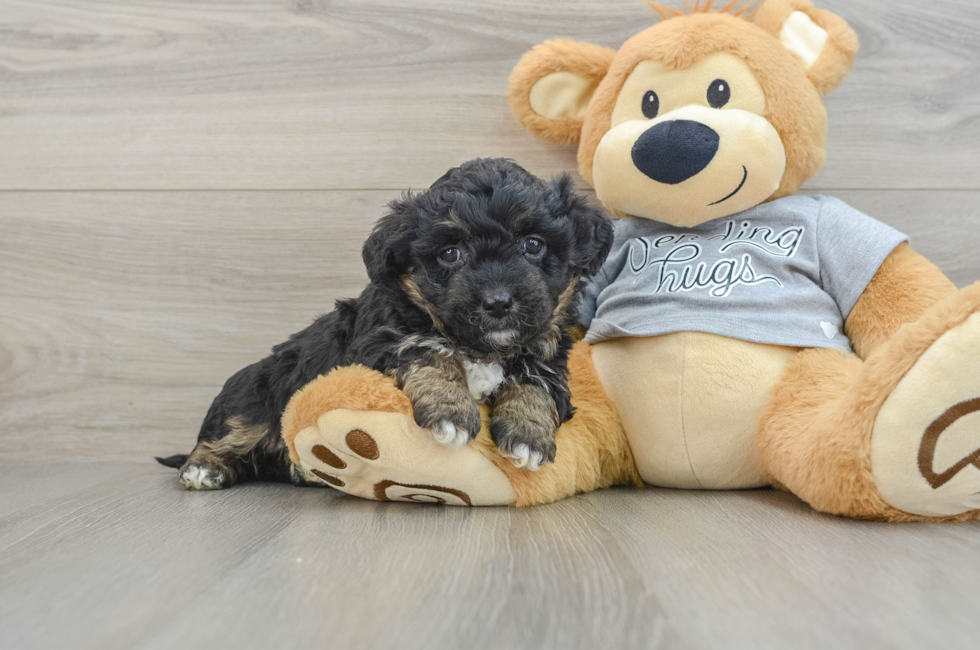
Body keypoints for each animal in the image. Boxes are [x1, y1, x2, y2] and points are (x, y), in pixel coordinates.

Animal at [156, 159, 608, 488]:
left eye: (534, 245)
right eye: (450, 253)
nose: (498, 301)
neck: (481, 347)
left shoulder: (548, 354)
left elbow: (535, 384)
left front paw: (529, 436)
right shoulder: (380, 341)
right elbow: (428, 349)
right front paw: (450, 411)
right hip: (253, 395)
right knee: (227, 431)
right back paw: (204, 467)